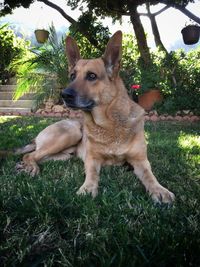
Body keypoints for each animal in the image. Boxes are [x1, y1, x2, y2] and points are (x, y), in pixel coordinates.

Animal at [3, 30, 174, 203]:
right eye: (72, 76)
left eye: (92, 76)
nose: (64, 95)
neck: (110, 124)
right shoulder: (92, 159)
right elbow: (92, 174)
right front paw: (88, 188)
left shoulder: (140, 161)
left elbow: (149, 175)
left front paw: (159, 190)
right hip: (71, 132)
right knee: (29, 155)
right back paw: (30, 167)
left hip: (66, 151)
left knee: (38, 156)